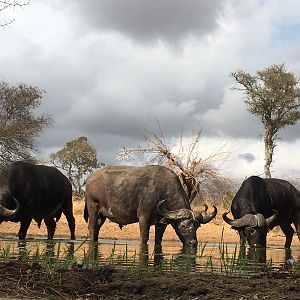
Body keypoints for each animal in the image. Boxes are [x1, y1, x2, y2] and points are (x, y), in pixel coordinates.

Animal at [84, 164, 218, 246]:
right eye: (184, 225)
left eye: (197, 226)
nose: (193, 243)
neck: (161, 191)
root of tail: (90, 178)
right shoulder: (144, 218)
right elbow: (144, 237)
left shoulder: (161, 223)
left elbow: (158, 239)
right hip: (93, 206)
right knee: (92, 227)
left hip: (102, 215)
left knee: (97, 228)